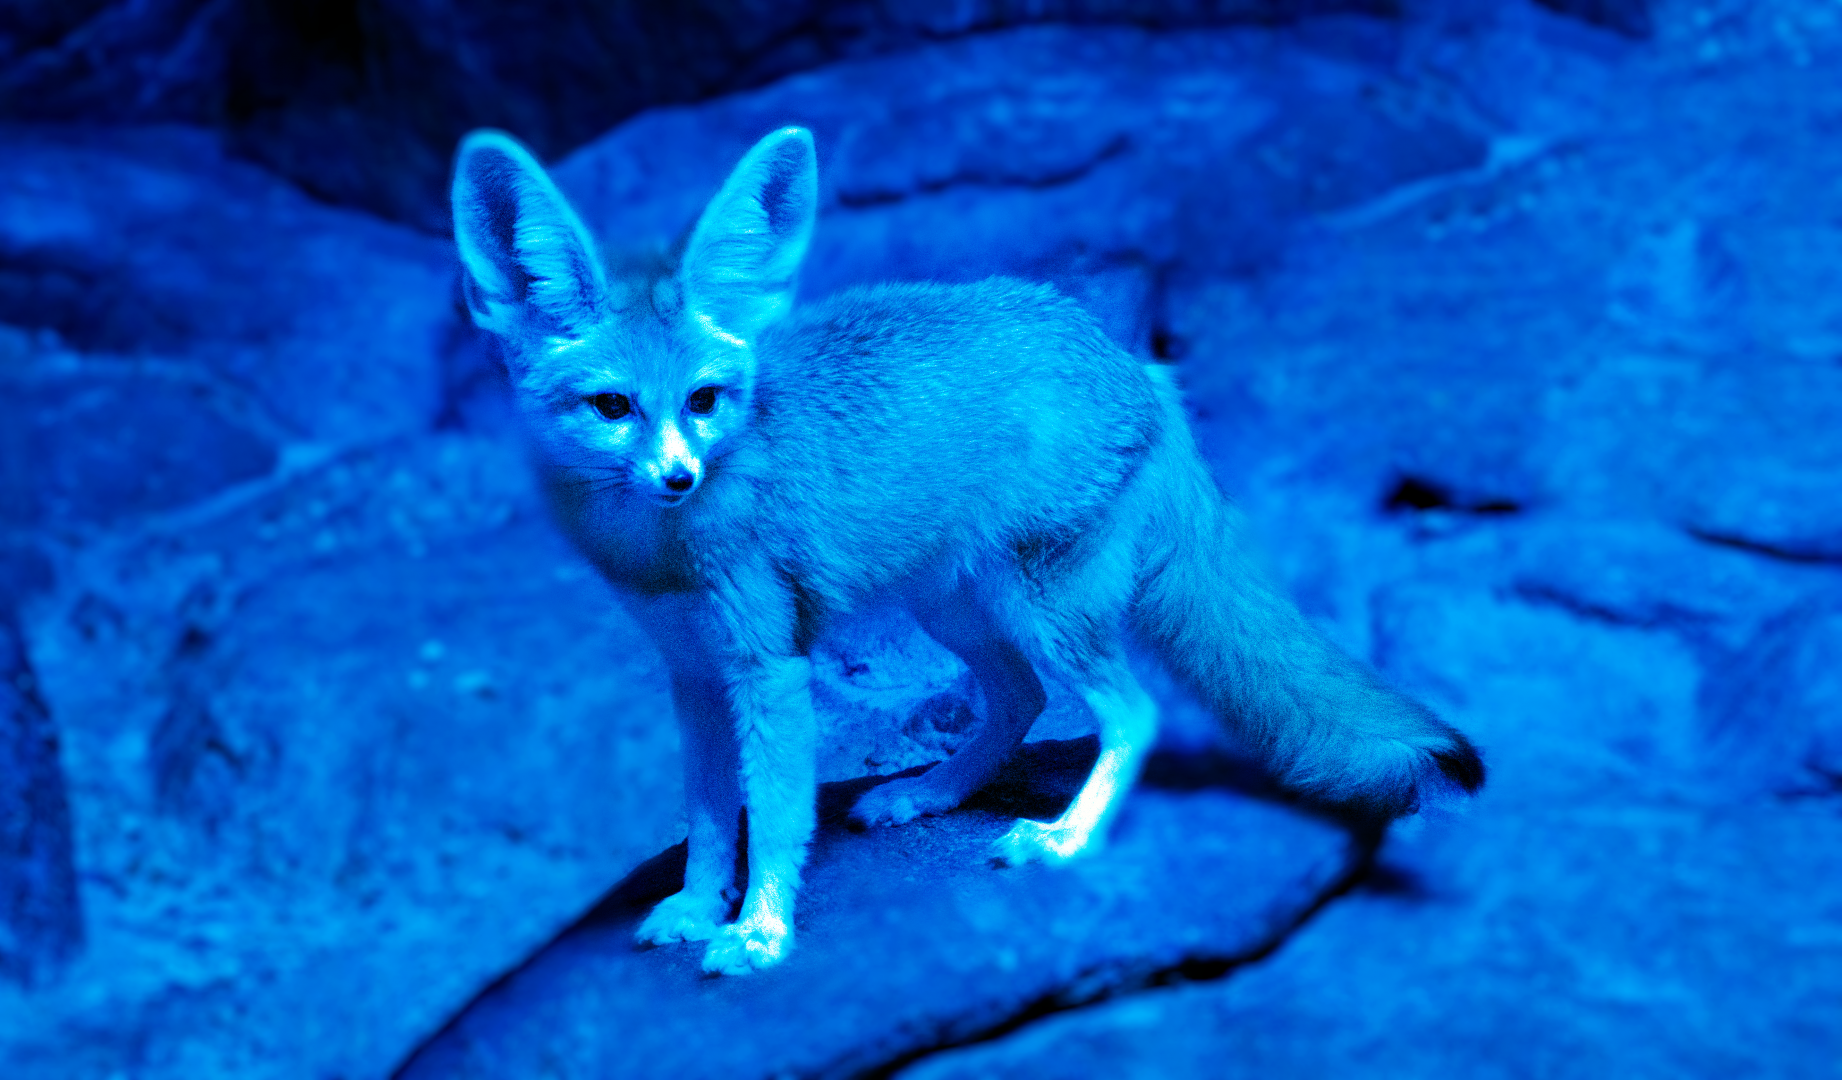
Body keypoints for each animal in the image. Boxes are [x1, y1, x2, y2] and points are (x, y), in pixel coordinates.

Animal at [449, 125, 1484, 976]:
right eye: (613, 407)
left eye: (703, 401)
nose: (677, 476)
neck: (661, 551)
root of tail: (1129, 357)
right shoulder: (693, 673)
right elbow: (708, 816)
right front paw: (701, 909)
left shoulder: (769, 670)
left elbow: (774, 814)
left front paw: (761, 934)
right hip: (953, 608)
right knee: (1019, 699)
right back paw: (931, 792)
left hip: (1041, 608)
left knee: (1132, 712)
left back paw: (1064, 840)